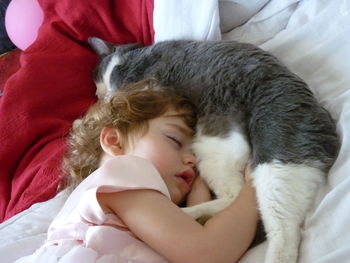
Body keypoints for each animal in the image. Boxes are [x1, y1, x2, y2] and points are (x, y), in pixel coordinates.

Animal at [87, 37, 340, 263]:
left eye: (99, 92)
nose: (104, 99)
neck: (130, 58)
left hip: (268, 151)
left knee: (273, 224)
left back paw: (189, 214)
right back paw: (197, 214)